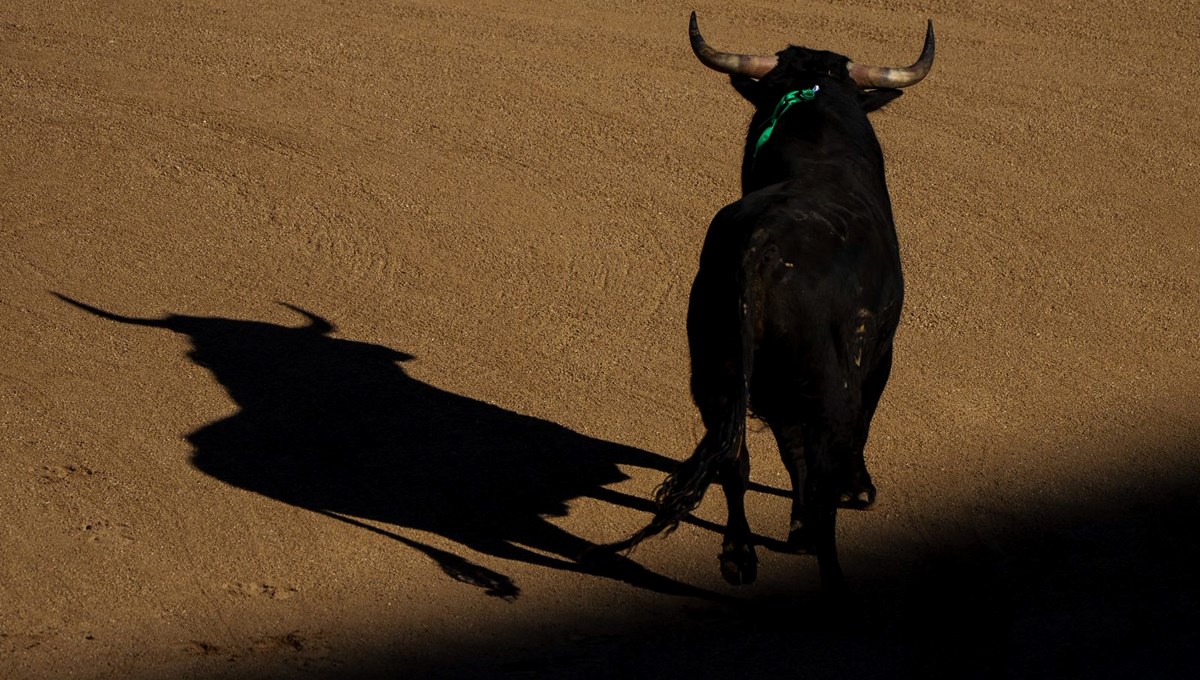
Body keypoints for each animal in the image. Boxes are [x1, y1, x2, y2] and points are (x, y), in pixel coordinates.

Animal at [604, 11, 931, 594]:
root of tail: (761, 248)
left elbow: (780, 448)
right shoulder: (880, 354)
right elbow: (854, 428)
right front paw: (856, 491)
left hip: (715, 374)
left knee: (734, 458)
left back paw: (739, 556)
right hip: (825, 387)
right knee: (819, 477)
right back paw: (832, 577)